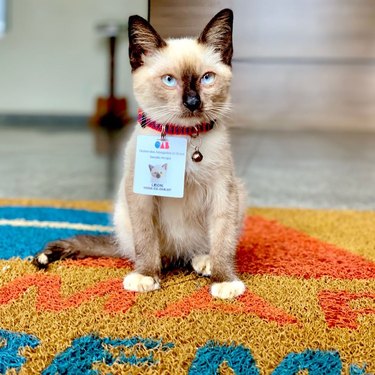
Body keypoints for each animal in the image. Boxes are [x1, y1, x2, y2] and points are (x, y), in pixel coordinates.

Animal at [33, 8, 248, 302]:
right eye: (169, 80)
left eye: (207, 78)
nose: (193, 102)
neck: (183, 137)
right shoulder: (141, 196)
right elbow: (146, 241)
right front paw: (147, 275)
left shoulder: (222, 193)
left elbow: (222, 242)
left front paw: (223, 280)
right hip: (123, 211)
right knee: (153, 252)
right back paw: (158, 265)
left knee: (198, 250)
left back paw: (203, 262)